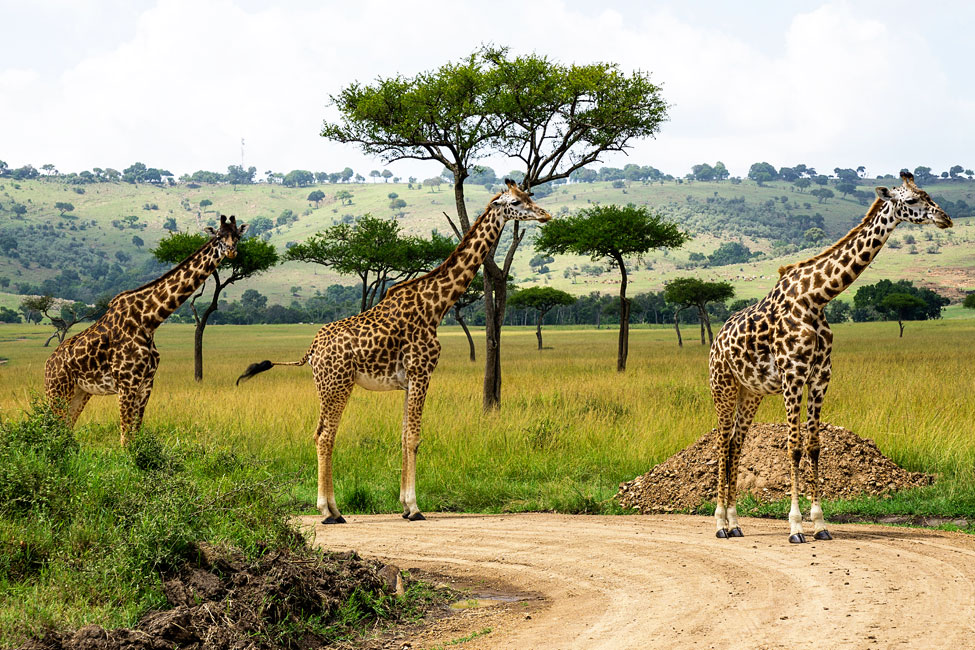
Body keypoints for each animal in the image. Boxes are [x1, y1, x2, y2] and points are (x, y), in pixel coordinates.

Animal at [44, 213, 248, 440]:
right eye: (219, 236)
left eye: (237, 236)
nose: (231, 251)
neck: (149, 320)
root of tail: (47, 364)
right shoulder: (126, 383)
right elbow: (126, 438)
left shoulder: (146, 384)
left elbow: (136, 435)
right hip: (58, 390)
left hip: (81, 392)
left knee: (65, 430)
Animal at [237, 177, 552, 520]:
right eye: (516, 202)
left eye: (529, 195)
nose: (546, 215)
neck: (436, 305)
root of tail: (311, 350)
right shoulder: (421, 372)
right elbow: (414, 436)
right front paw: (414, 507)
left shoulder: (407, 381)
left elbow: (403, 435)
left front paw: (403, 505)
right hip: (336, 384)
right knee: (325, 435)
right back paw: (328, 511)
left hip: (326, 386)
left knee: (320, 432)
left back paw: (334, 509)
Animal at [708, 172, 952, 540]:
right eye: (911, 201)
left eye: (928, 194)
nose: (945, 219)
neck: (817, 297)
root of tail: (715, 343)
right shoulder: (793, 375)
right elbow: (793, 446)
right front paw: (795, 526)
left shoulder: (821, 376)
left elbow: (813, 446)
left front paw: (820, 523)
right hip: (722, 386)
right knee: (723, 443)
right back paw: (720, 523)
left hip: (751, 393)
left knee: (737, 442)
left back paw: (736, 523)